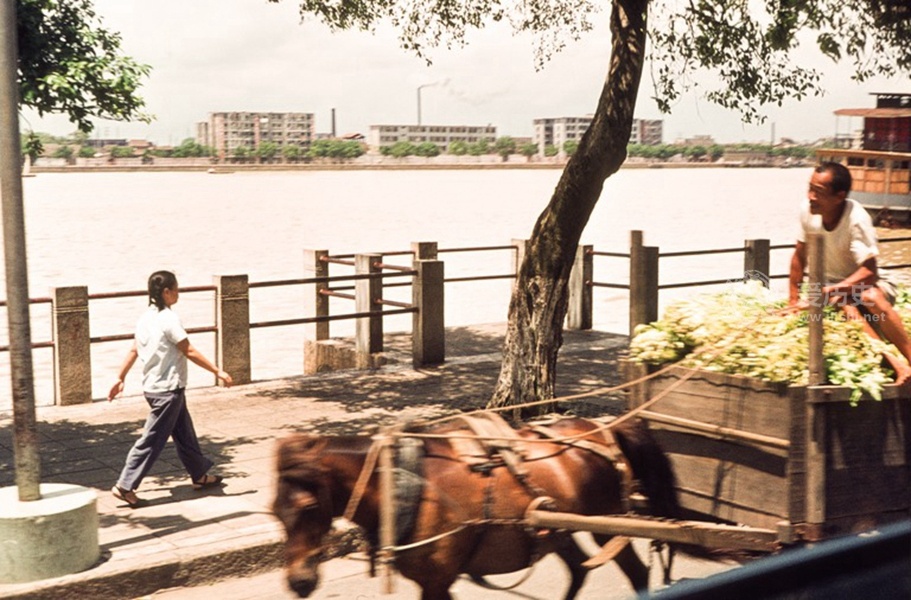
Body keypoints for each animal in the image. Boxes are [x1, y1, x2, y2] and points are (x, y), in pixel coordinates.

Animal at [270, 418, 676, 600]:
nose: (298, 582)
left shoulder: (436, 581)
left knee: (637, 572)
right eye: (274, 511)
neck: (408, 484)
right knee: (579, 570)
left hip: (609, 524)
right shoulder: (436, 582)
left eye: (308, 505)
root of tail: (605, 428)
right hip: (559, 530)